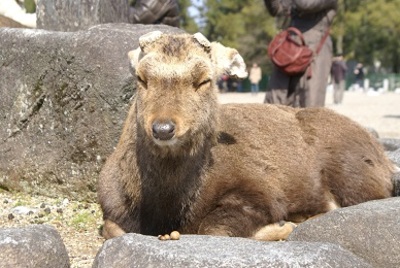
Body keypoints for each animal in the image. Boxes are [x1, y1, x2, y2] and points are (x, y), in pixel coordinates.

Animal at [98, 31, 398, 241]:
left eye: (204, 80)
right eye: (141, 78)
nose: (163, 128)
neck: (165, 210)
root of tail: (383, 157)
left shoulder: (260, 189)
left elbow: (215, 229)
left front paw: (284, 225)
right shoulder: (110, 207)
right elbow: (110, 229)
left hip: (353, 173)